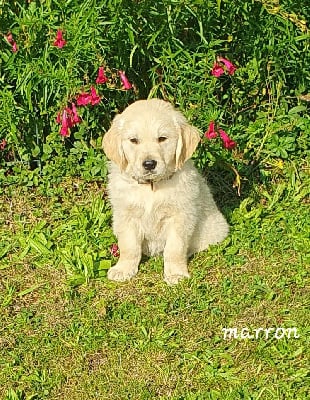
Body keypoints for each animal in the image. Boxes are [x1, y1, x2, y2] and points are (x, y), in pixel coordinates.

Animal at [103, 98, 229, 282]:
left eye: (162, 138)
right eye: (134, 140)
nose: (149, 164)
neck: (151, 186)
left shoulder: (180, 217)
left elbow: (175, 248)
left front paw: (176, 273)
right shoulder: (126, 215)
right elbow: (128, 246)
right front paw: (123, 269)